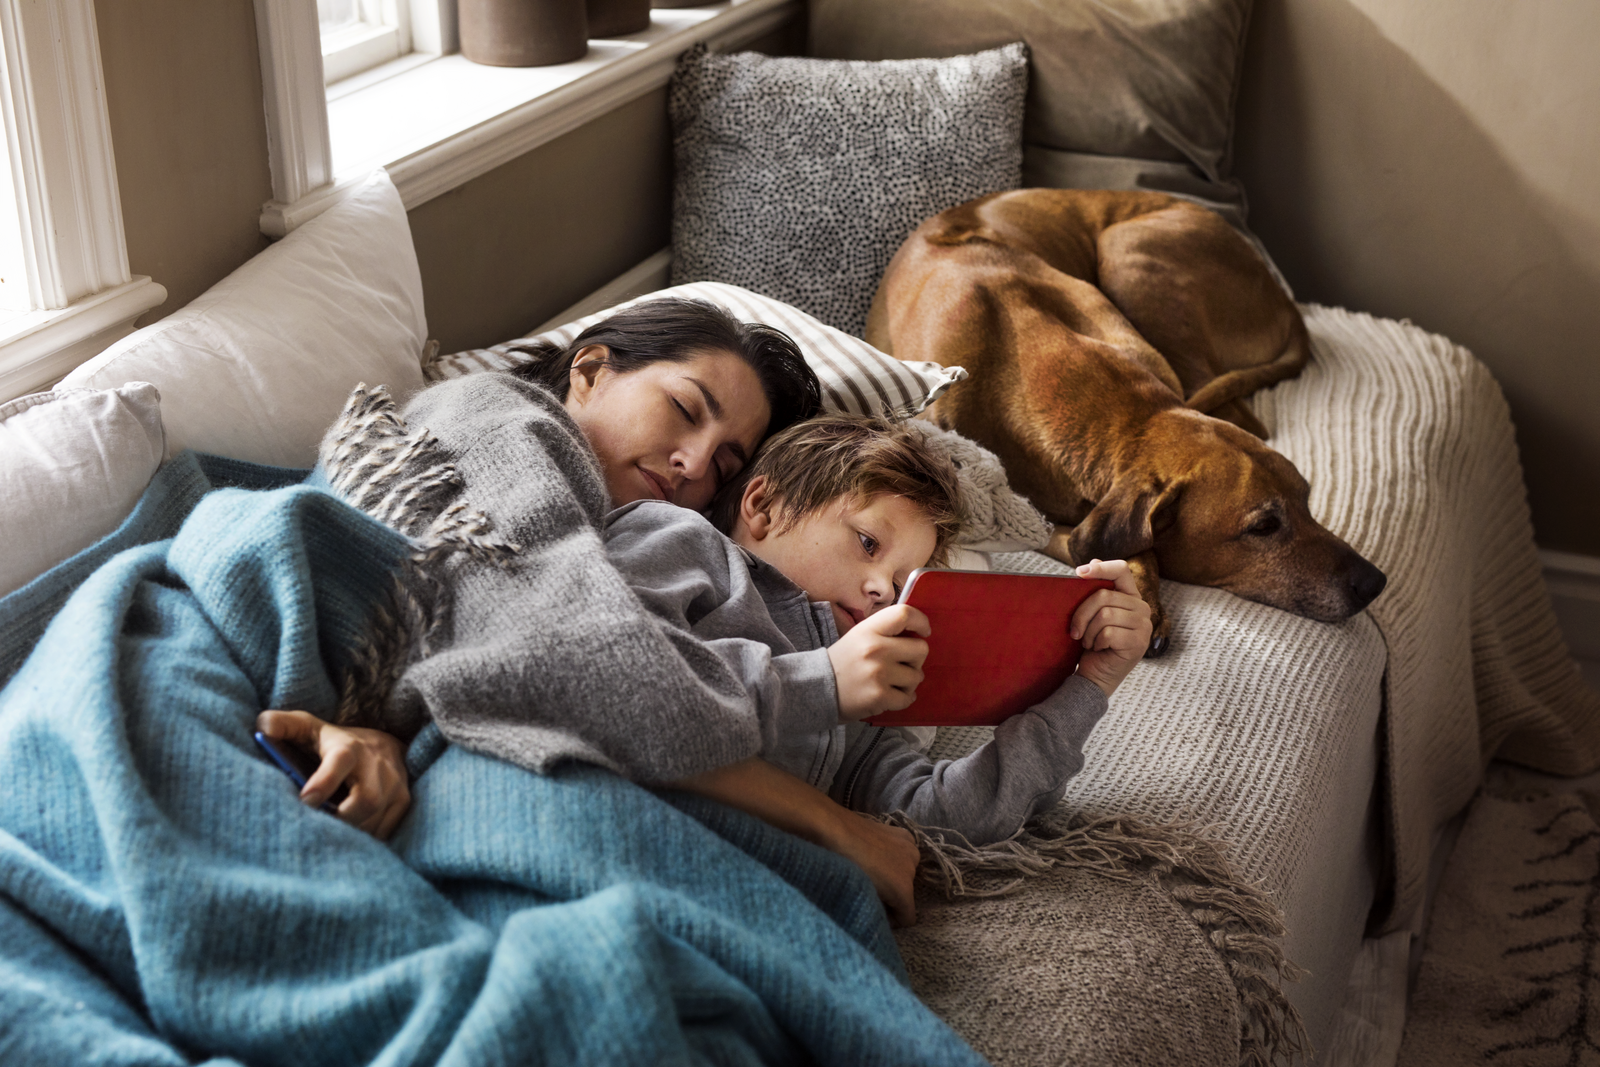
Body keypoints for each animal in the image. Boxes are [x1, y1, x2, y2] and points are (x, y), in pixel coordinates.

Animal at [870, 187, 1382, 646]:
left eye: (1307, 498)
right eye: (1263, 527)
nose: (1374, 583)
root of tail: (1288, 303)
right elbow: (1096, 541)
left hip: (1130, 255)